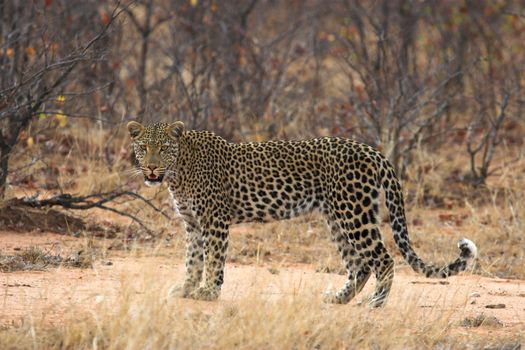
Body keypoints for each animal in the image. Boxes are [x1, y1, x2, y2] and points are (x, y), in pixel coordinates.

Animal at [126, 120, 474, 306]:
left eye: (164, 148)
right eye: (143, 148)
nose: (152, 168)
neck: (178, 172)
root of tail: (373, 151)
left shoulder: (214, 222)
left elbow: (212, 260)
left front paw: (208, 291)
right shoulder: (192, 224)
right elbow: (193, 259)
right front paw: (186, 289)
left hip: (354, 214)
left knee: (383, 259)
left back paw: (374, 303)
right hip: (337, 218)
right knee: (360, 265)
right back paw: (339, 299)